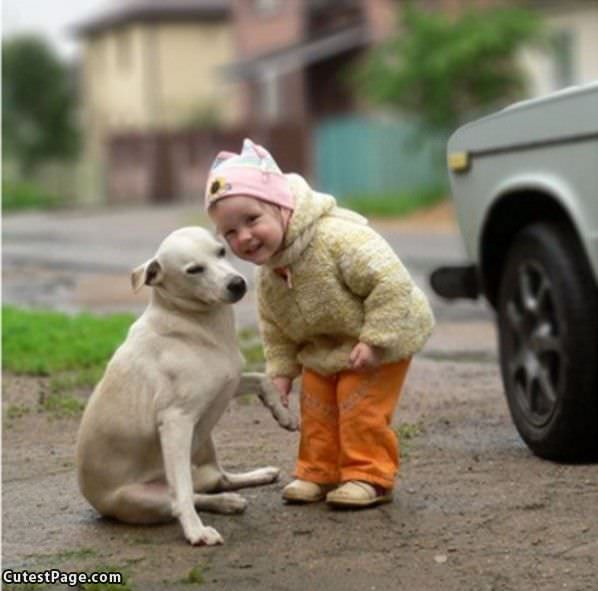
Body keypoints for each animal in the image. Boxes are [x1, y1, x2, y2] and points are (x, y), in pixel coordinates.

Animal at [76, 227, 298, 544]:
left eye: (221, 251)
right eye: (193, 270)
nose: (237, 284)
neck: (195, 323)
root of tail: (94, 499)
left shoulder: (228, 383)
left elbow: (261, 379)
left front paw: (283, 413)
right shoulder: (175, 422)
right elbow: (182, 495)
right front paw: (196, 532)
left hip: (204, 443)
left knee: (215, 481)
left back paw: (247, 484)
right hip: (146, 494)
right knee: (182, 497)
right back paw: (217, 508)